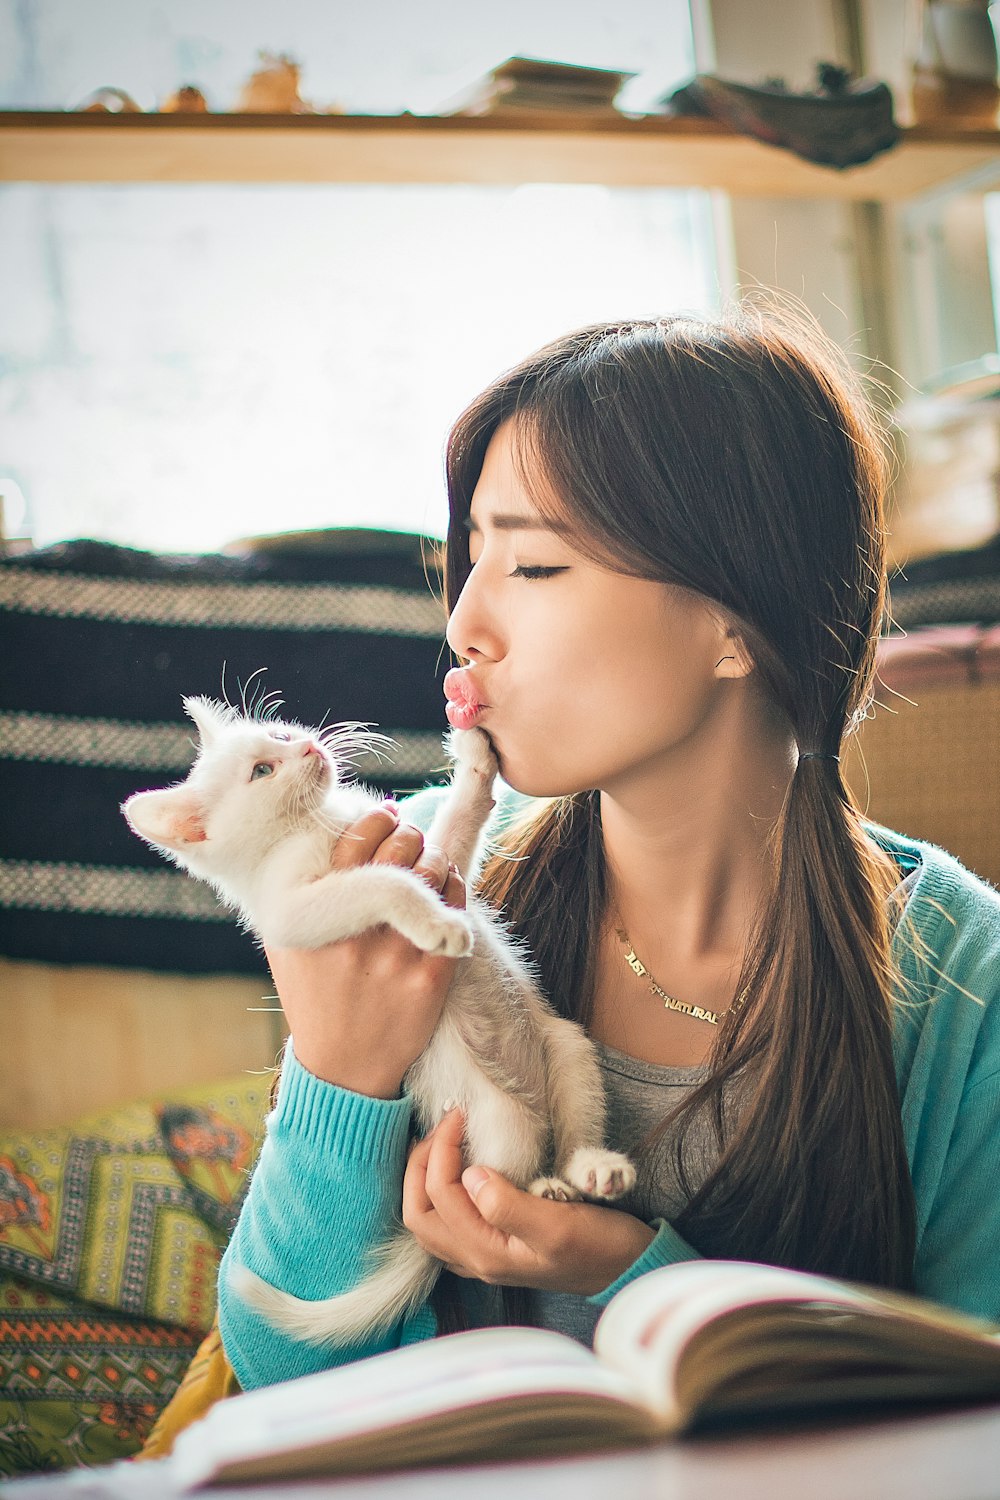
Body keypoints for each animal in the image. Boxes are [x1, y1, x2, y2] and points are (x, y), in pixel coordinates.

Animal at [122, 699, 632, 1350]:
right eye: (263, 770)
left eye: (280, 734)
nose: (309, 749)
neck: (318, 823)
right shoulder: (294, 913)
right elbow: (383, 880)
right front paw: (437, 925)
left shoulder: (439, 858)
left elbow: (460, 820)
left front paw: (474, 755)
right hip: (501, 1124)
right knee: (506, 1176)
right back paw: (543, 1187)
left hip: (567, 1047)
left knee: (567, 1136)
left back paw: (590, 1170)